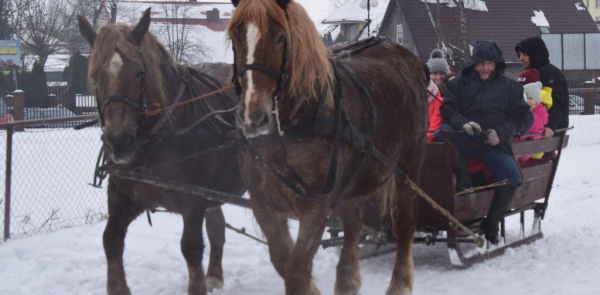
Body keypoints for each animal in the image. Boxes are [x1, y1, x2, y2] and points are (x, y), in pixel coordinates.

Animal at [78, 9, 246, 295]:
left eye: (139, 72)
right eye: (95, 75)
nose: (119, 142)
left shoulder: (193, 200)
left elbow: (191, 248)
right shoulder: (123, 196)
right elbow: (111, 240)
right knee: (217, 228)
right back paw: (214, 276)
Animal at [227, 0, 428, 295]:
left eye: (280, 37)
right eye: (235, 37)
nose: (253, 116)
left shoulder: (315, 206)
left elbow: (296, 272)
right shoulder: (263, 203)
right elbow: (283, 261)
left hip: (408, 165)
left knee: (404, 222)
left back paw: (399, 284)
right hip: (355, 176)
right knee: (353, 223)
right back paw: (347, 281)